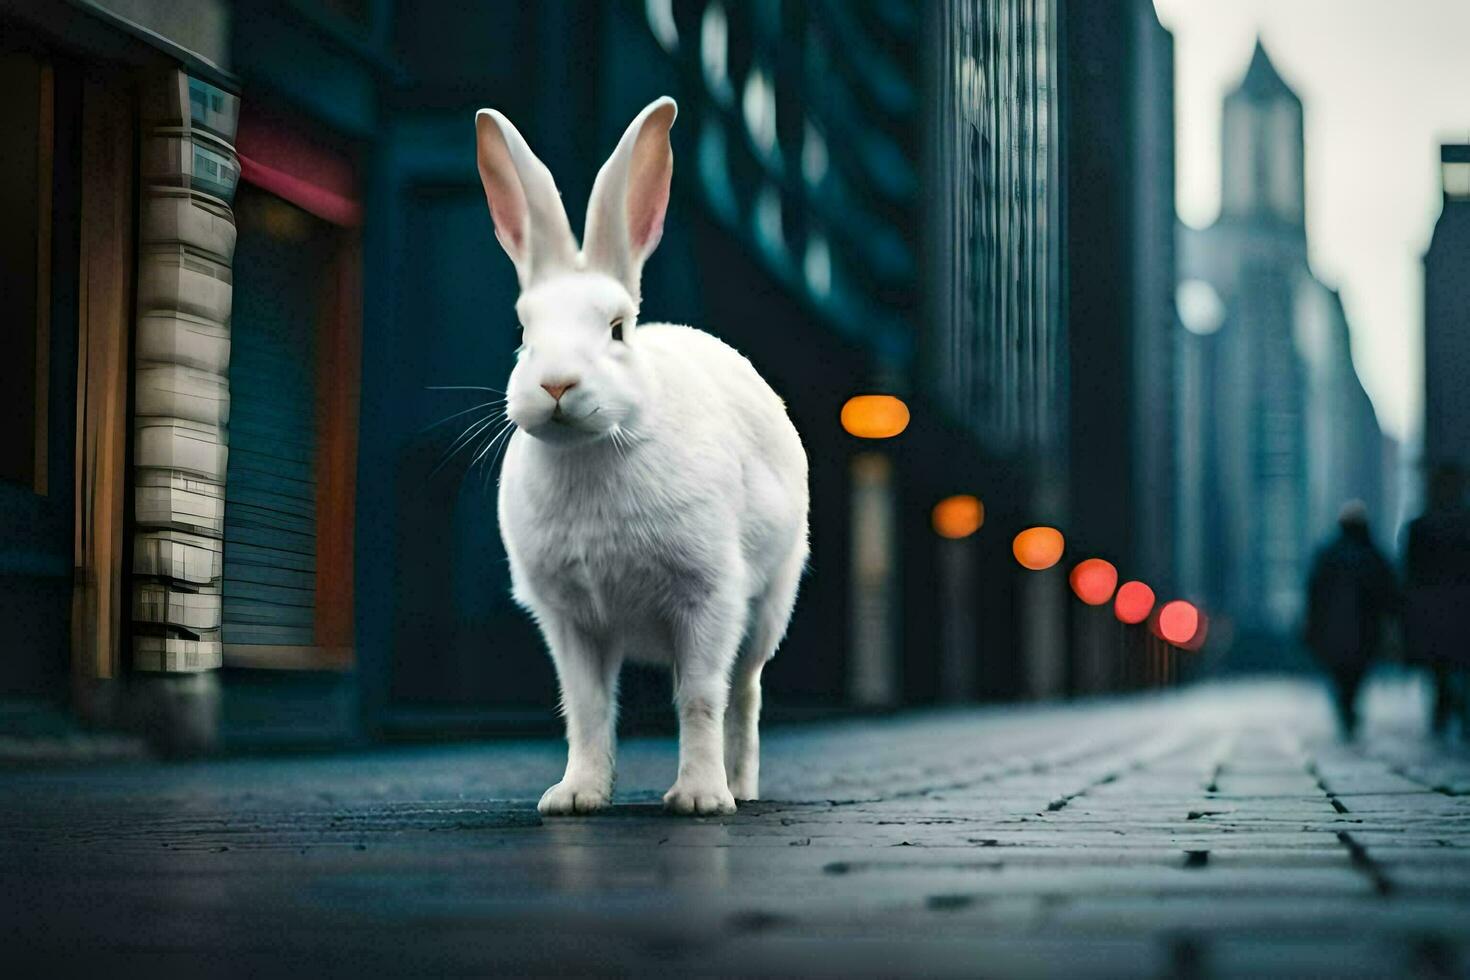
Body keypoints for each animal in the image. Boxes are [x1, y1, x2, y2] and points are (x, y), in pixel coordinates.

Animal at [476, 95, 811, 816]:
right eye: (524, 332)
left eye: (617, 330)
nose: (557, 385)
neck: (596, 450)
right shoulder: (570, 620)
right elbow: (586, 708)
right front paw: (575, 796)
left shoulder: (710, 597)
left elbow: (702, 698)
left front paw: (700, 798)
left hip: (769, 604)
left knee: (745, 692)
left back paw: (741, 788)